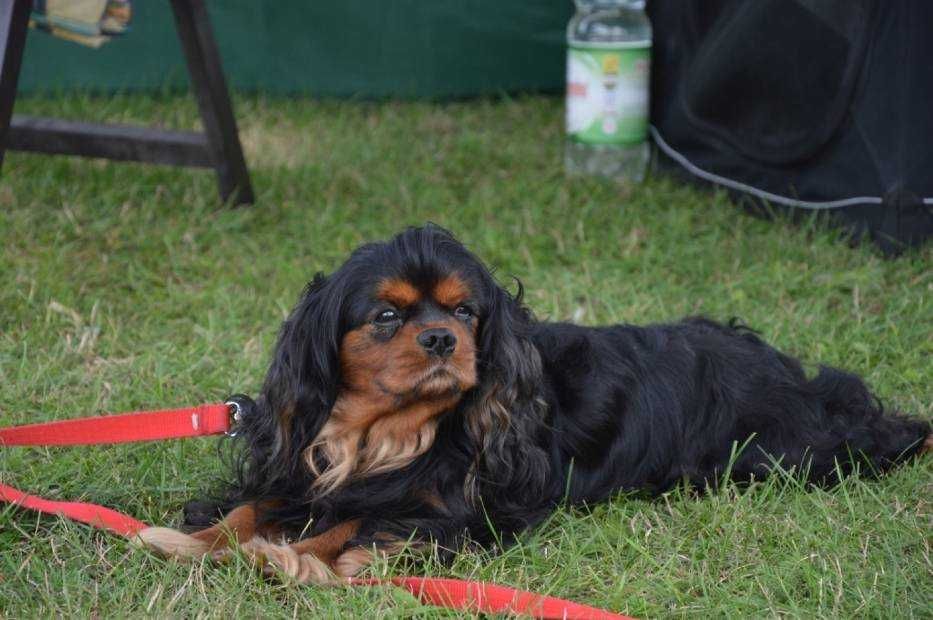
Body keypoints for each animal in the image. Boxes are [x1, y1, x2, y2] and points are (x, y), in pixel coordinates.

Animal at [138, 226, 932, 580]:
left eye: (466, 312)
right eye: (387, 316)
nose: (441, 338)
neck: (384, 431)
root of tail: (799, 380)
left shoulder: (453, 511)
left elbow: (353, 527)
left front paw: (289, 560)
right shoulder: (306, 472)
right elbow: (252, 507)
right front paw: (193, 541)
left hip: (767, 457)